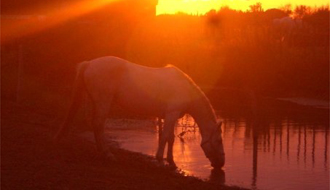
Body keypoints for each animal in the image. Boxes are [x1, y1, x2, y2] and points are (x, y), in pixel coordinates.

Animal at [54, 56, 224, 169]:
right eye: (219, 141)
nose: (221, 164)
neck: (185, 90)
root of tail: (89, 64)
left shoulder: (171, 116)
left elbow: (170, 138)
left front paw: (171, 160)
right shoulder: (171, 115)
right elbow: (164, 138)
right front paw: (160, 160)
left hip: (96, 102)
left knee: (95, 124)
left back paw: (101, 151)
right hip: (103, 102)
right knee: (99, 125)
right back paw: (108, 154)